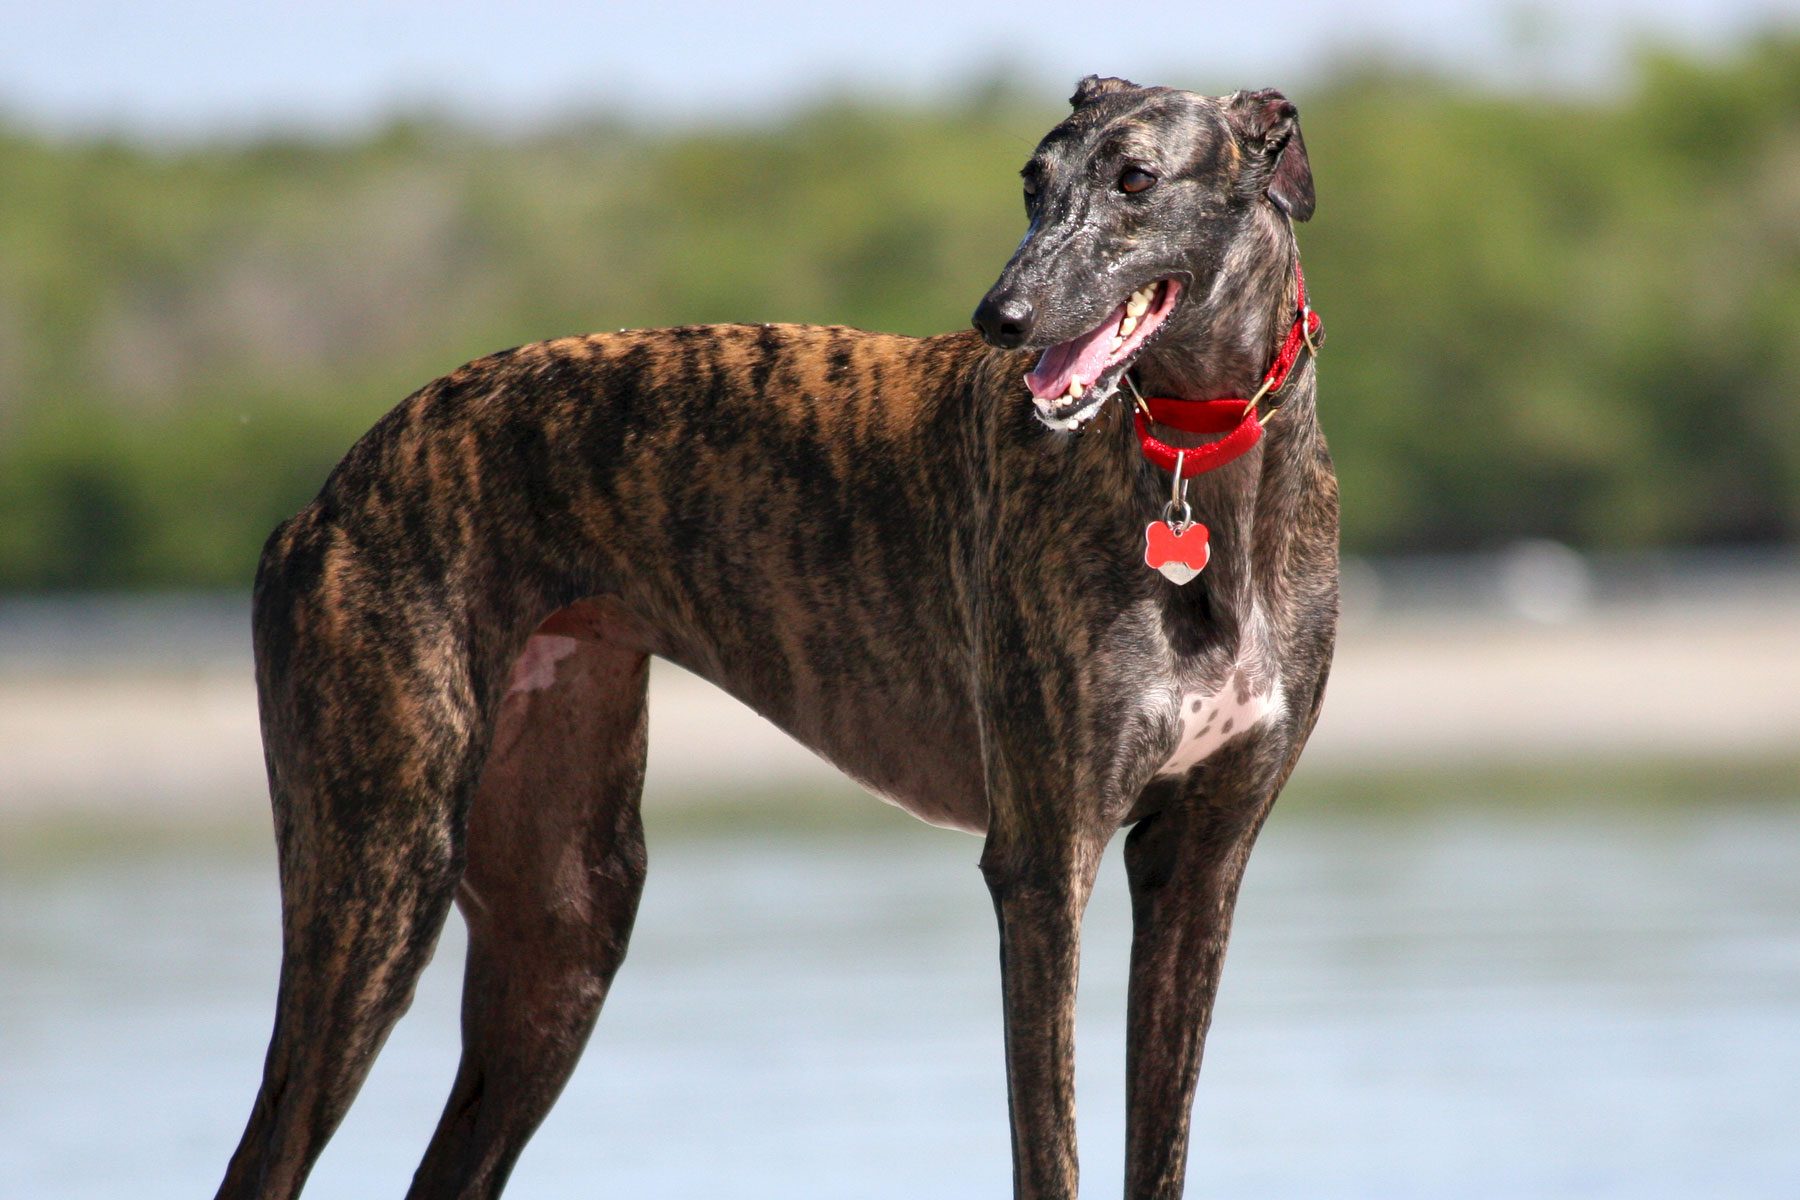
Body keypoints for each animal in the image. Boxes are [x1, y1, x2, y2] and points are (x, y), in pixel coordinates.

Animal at [214, 77, 1339, 1200]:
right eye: (1034, 180)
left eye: (1136, 179)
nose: (1000, 318)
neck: (1194, 466)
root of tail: (325, 500)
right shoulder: (1043, 860)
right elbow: (1047, 1149)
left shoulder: (1201, 860)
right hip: (381, 878)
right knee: (265, 1149)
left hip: (562, 919)